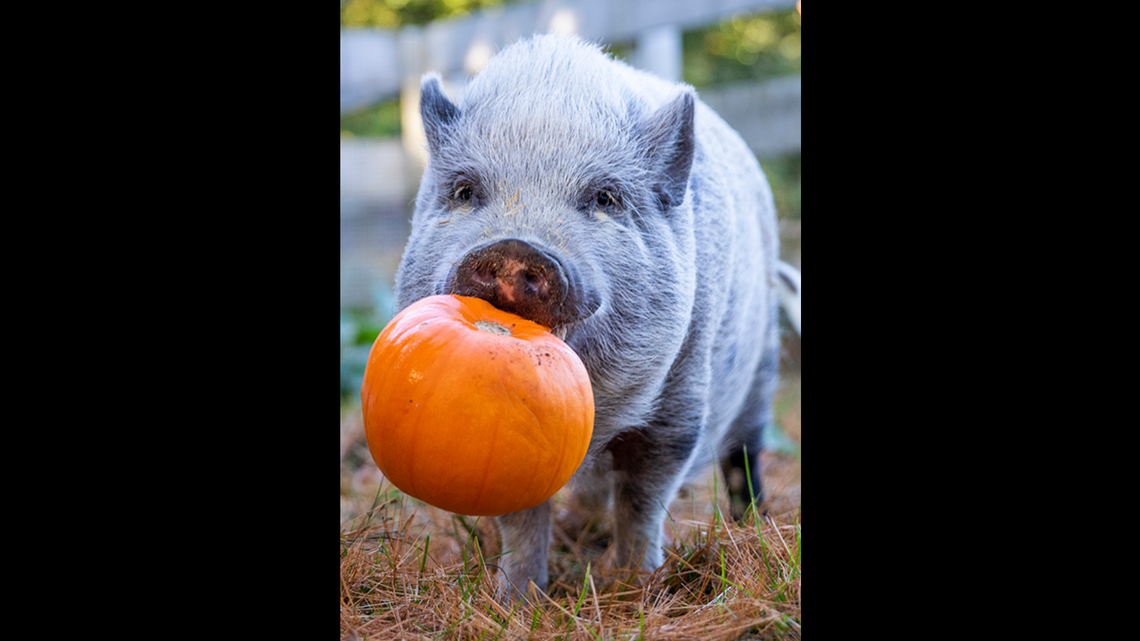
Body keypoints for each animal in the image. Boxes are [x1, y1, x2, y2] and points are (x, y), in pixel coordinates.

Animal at [392, 34, 783, 601]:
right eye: (465, 191)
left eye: (605, 198)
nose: (515, 248)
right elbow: (522, 519)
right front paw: (515, 600)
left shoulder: (680, 404)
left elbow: (643, 500)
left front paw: (637, 587)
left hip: (763, 366)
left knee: (744, 457)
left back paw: (751, 523)